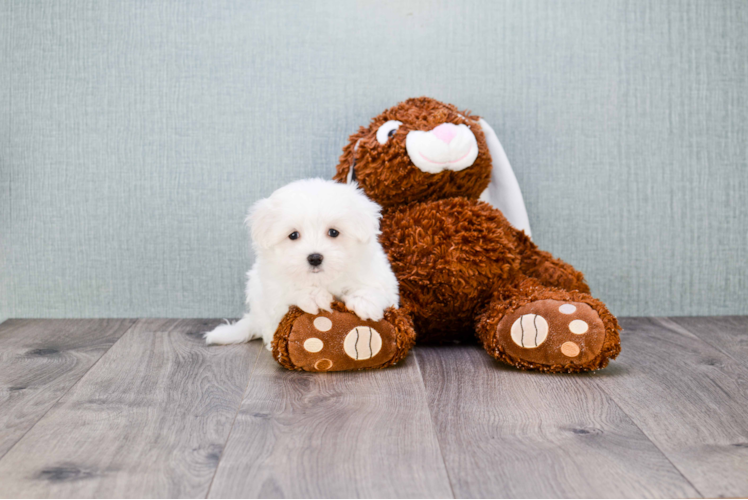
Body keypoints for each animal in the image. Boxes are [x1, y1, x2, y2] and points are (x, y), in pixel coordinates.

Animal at [202, 178, 400, 350]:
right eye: (293, 235)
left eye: (334, 232)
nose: (315, 258)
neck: (322, 279)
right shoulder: (272, 288)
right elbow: (289, 291)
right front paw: (313, 296)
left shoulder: (377, 272)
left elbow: (373, 286)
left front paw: (365, 302)